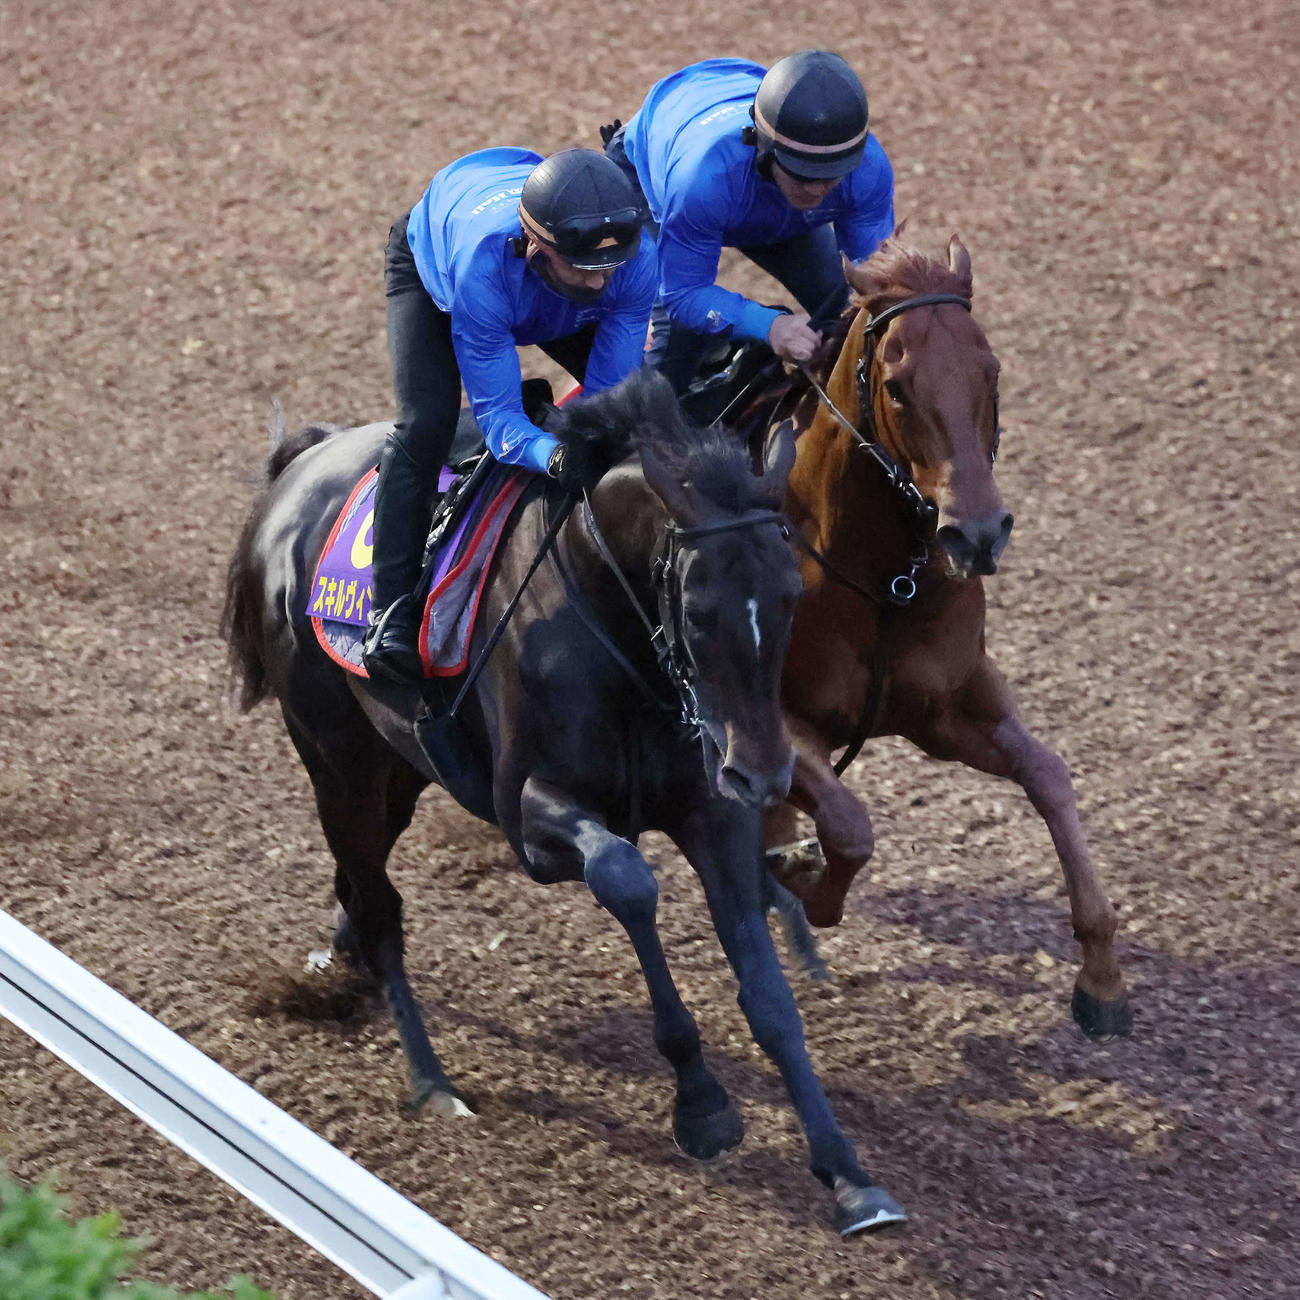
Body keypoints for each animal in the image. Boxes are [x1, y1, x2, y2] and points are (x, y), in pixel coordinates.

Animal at [220, 368, 907, 1234]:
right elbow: (626, 878)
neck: (612, 619)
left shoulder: (711, 811)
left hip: (398, 767)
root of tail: (295, 472)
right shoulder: (530, 813)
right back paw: (431, 1081)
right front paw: (702, 1102)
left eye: (790, 595)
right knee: (379, 901)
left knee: (362, 878)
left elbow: (770, 994)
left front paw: (850, 1174)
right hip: (336, 762)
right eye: (701, 608)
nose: (766, 774)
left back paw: (344, 963)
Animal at [733, 235, 1131, 1039]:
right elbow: (849, 827)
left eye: (991, 371)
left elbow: (1049, 775)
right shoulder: (779, 714)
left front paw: (1102, 975)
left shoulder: (945, 708)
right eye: (897, 386)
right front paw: (807, 882)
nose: (976, 533)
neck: (883, 581)